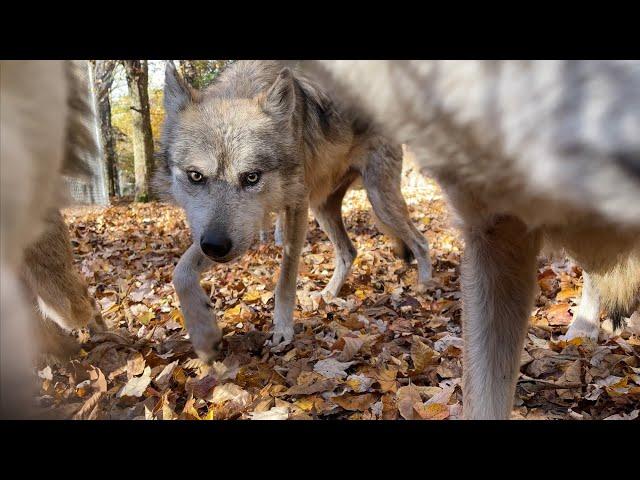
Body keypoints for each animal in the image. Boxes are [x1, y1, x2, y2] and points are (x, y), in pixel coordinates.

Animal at [157, 59, 432, 360]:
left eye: (251, 177)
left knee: (420, 241)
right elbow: (181, 273)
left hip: (379, 202)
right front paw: (204, 334)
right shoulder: (231, 231)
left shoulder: (295, 206)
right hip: (322, 209)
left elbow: (286, 279)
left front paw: (282, 329)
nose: (215, 246)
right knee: (349, 252)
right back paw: (328, 294)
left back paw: (425, 287)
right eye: (196, 176)